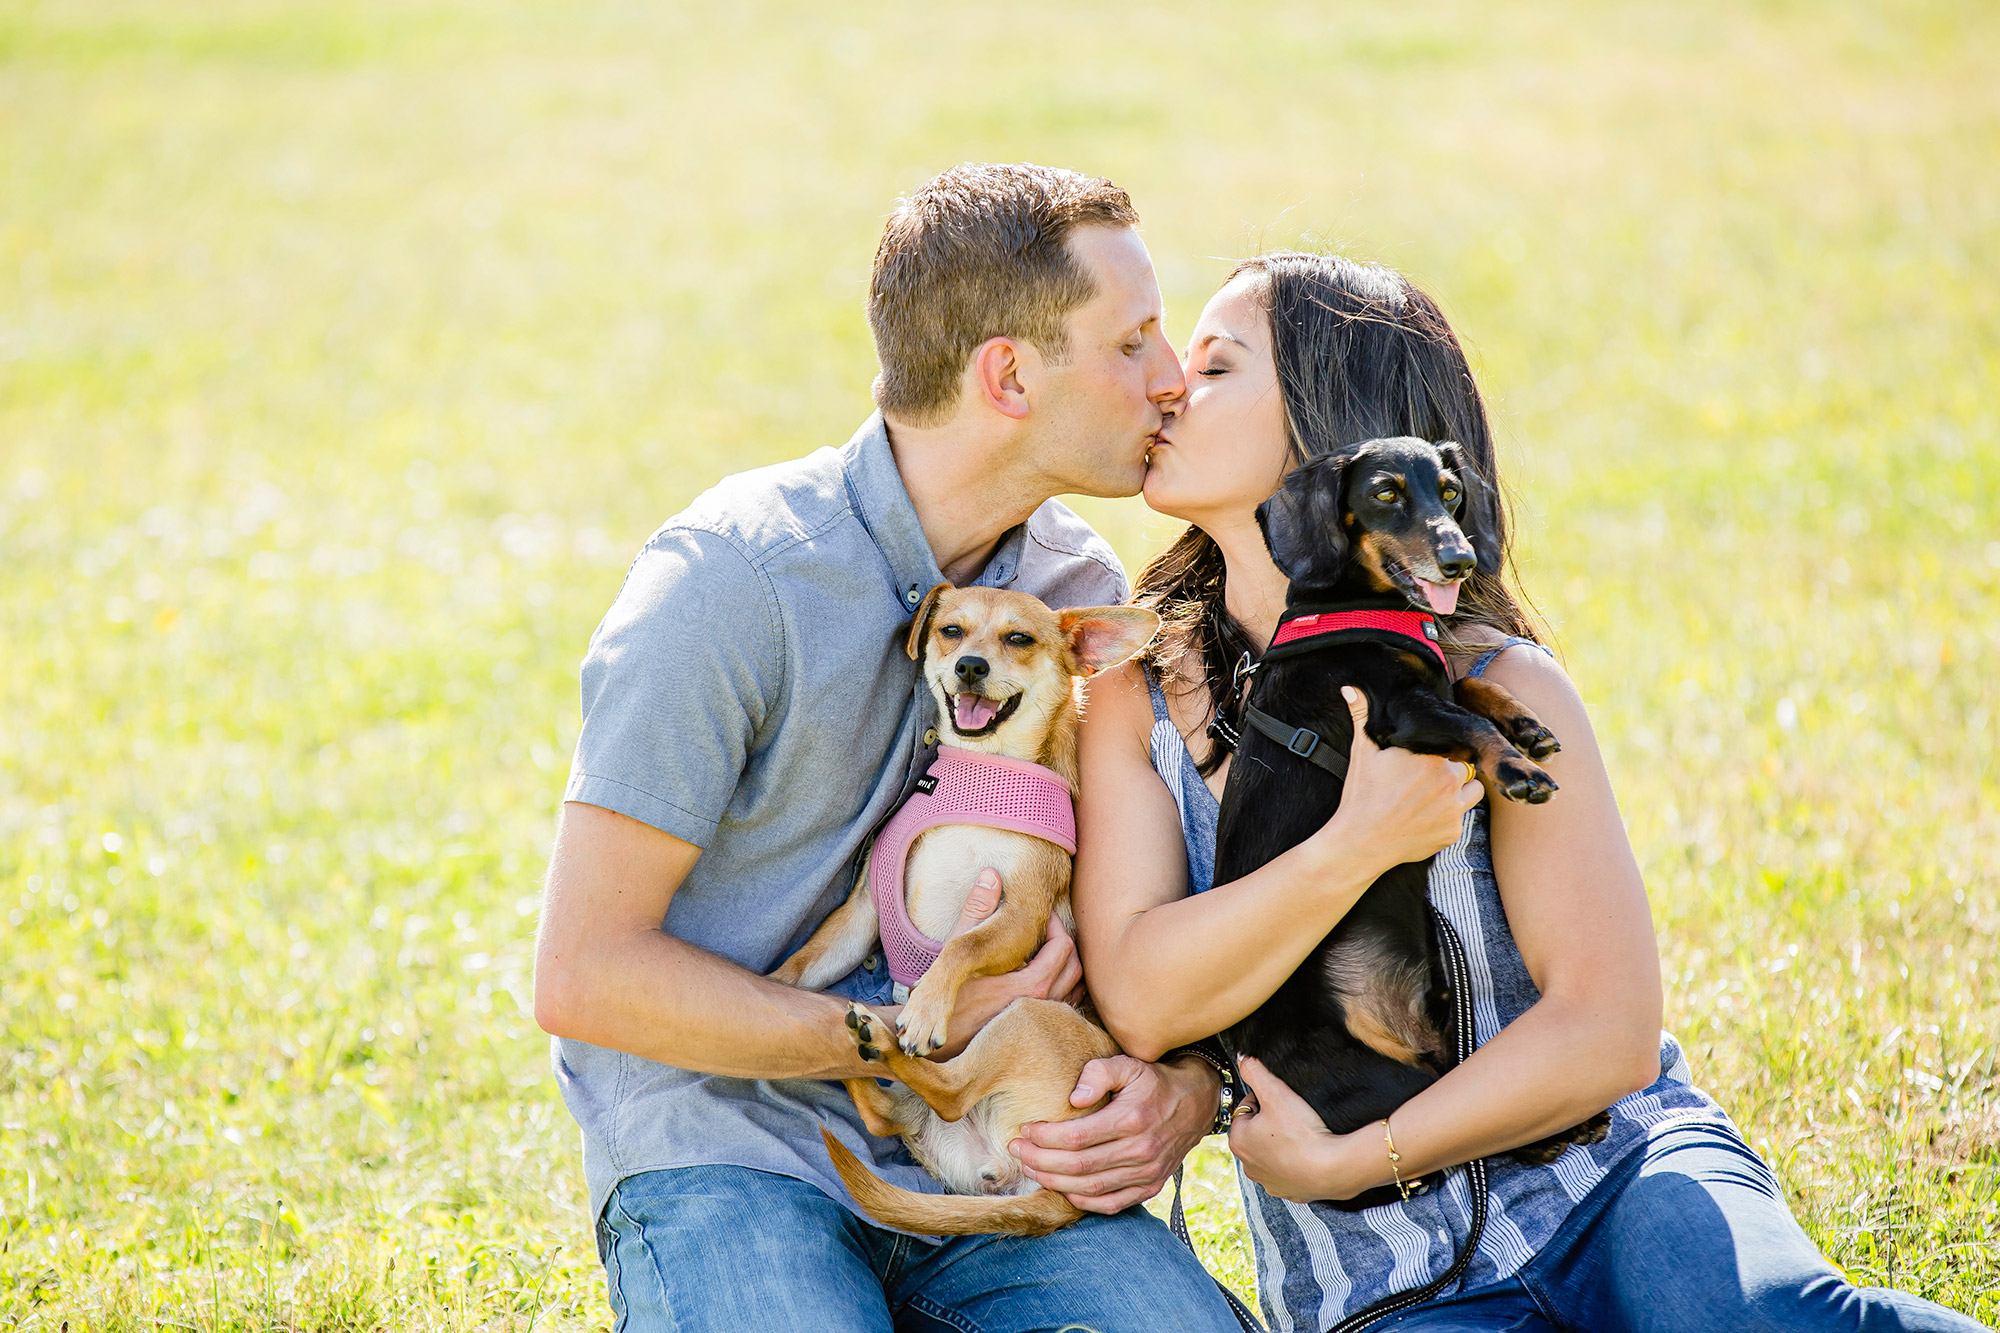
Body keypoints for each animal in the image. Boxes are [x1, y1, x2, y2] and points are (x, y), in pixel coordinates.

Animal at [772, 588, 1168, 1232]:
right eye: (951, 632)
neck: (984, 771)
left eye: (1019, 640)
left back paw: (885, 1039)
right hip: (929, 1111)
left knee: (953, 1090)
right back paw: (860, 1044)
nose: (971, 666)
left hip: (1028, 1017)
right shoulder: (861, 916)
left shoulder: (1019, 917)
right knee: (888, 1112)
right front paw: (768, 992)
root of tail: (1052, 1200)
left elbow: (962, 943)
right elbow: (803, 965)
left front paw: (926, 1008)